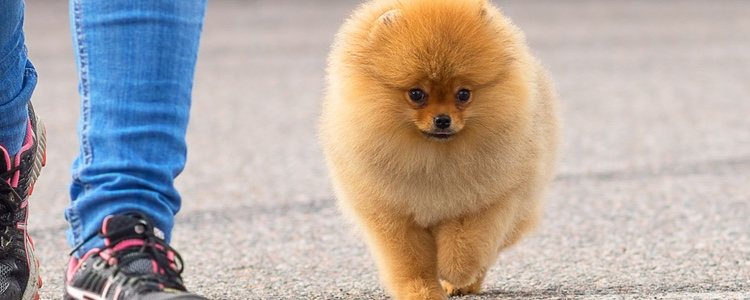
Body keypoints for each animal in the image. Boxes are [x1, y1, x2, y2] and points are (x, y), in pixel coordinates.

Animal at [320, 1, 560, 298]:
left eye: (463, 94)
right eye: (416, 94)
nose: (443, 120)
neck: (433, 160)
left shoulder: (489, 202)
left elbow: (467, 245)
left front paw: (455, 272)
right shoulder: (393, 216)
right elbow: (412, 262)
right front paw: (422, 291)